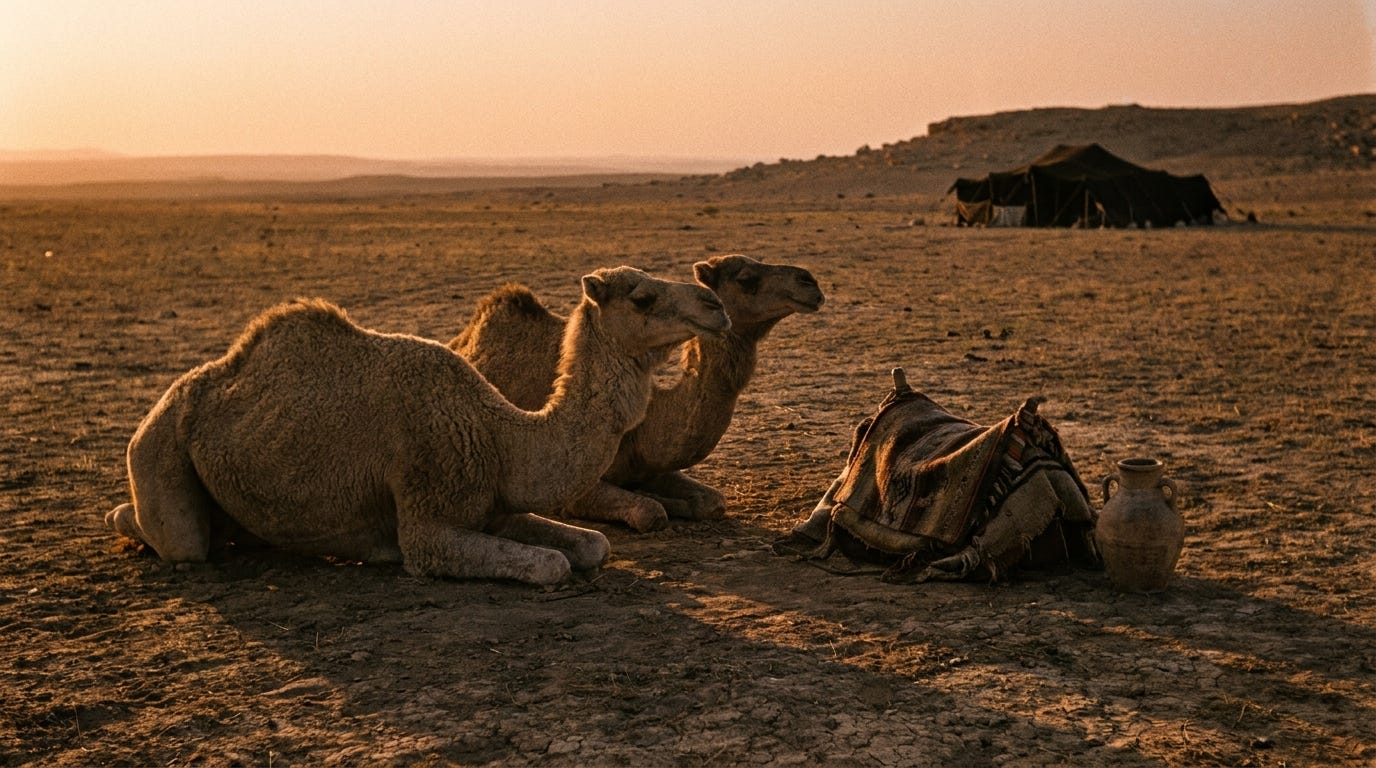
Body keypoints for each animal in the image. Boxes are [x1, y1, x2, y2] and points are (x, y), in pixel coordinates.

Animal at [104, 267, 730, 585]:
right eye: (643, 296)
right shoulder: (427, 519)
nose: (715, 305)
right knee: (178, 540)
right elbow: (549, 565)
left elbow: (593, 545)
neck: (500, 436)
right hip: (157, 450)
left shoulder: (493, 506)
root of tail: (158, 408)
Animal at [450, 254, 824, 531]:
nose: (810, 282)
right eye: (746, 278)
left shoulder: (652, 468)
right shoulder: (577, 486)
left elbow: (713, 502)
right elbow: (650, 512)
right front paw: (666, 504)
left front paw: (680, 501)